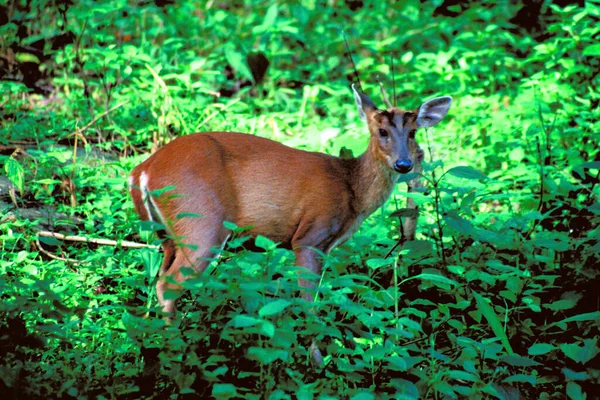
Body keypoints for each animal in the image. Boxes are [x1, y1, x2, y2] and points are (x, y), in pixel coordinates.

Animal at [129, 86, 452, 364]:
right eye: (382, 131)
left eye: (413, 132)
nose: (404, 164)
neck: (351, 189)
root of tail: (142, 170)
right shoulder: (310, 236)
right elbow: (309, 301)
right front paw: (317, 362)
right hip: (202, 222)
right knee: (169, 283)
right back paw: (175, 350)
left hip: (168, 235)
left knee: (159, 277)